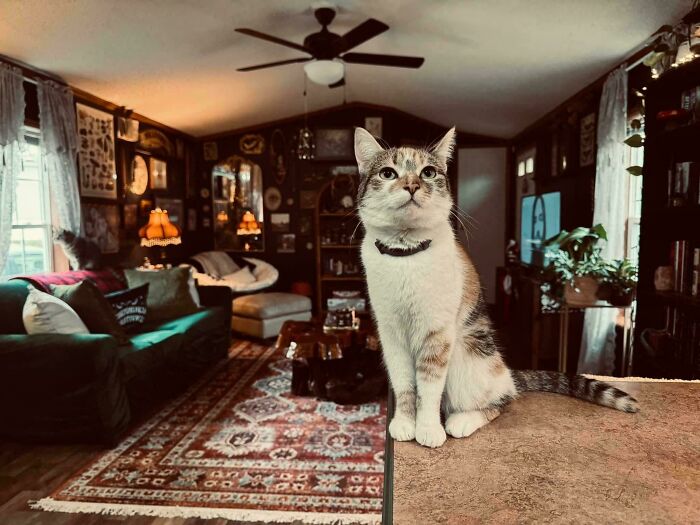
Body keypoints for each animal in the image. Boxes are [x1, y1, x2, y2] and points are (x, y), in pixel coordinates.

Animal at [352, 126, 636, 446]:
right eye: (388, 173)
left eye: (428, 173)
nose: (412, 185)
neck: (406, 255)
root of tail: (507, 374)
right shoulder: (392, 335)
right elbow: (404, 386)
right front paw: (403, 423)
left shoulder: (437, 336)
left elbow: (429, 388)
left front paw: (427, 430)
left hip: (465, 361)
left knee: (502, 400)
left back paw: (460, 421)